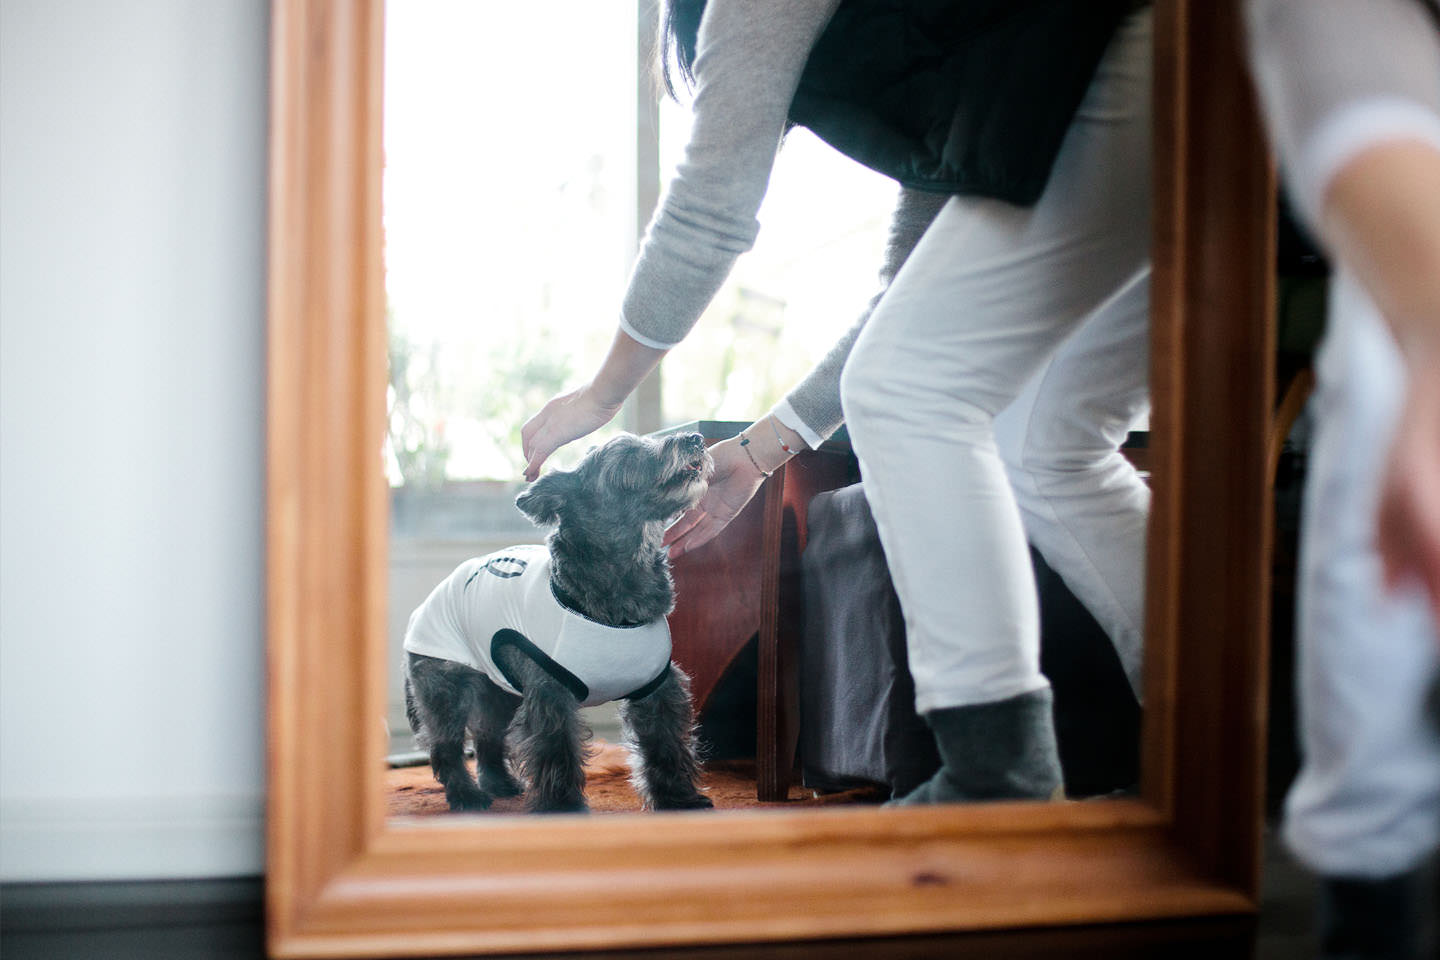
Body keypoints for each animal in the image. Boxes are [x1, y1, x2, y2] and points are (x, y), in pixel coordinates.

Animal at [403, 431, 717, 817]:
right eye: (627, 453)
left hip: (498, 693)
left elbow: (666, 745)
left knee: (488, 739)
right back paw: (466, 796)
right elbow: (557, 750)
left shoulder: (657, 690)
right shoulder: (551, 695)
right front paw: (562, 807)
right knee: (446, 746)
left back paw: (501, 785)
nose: (696, 437)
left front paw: (679, 799)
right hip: (445, 691)